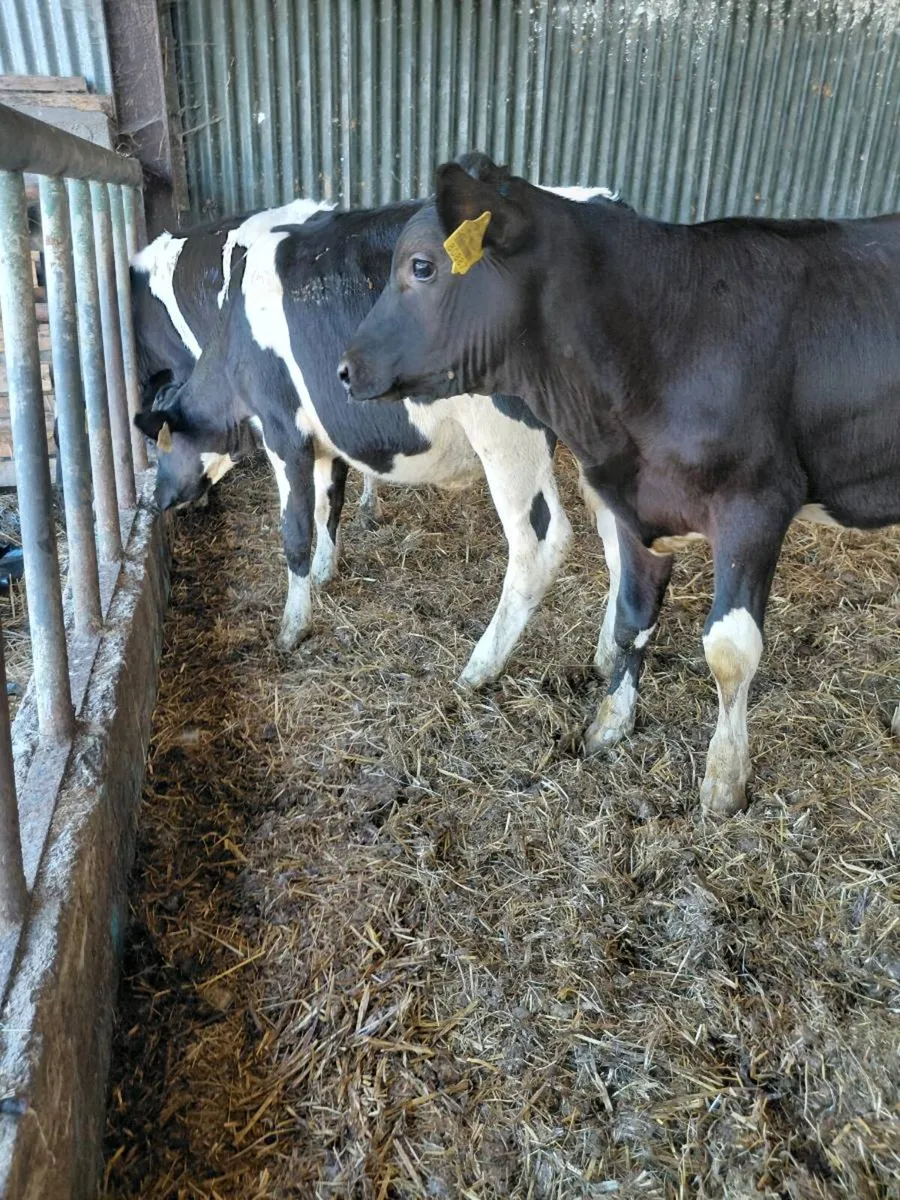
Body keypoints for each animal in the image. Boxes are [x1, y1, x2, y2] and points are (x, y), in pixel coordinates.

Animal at [134, 193, 618, 687]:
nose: (153, 500)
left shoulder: (283, 430)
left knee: (539, 545)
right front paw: (325, 572)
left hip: (507, 437)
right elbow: (329, 505)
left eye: (162, 444)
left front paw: (292, 626)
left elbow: (296, 529)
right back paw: (608, 660)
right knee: (620, 544)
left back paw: (478, 668)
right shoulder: (325, 438)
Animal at [339, 152, 900, 815]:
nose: (345, 368)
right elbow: (632, 618)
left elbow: (730, 650)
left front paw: (724, 780)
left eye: (422, 266)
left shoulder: (758, 502)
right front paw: (609, 722)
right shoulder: (634, 504)